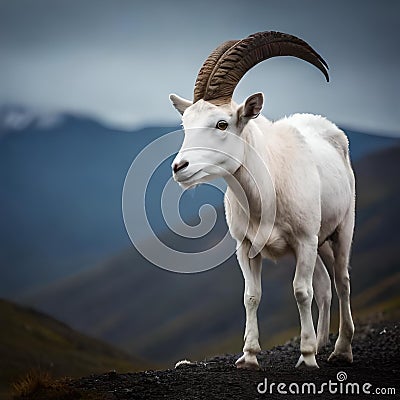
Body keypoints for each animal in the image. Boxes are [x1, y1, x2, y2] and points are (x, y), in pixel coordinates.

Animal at [169, 30, 354, 368]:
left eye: (222, 123)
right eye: (185, 124)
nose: (180, 168)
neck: (268, 191)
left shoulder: (304, 240)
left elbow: (300, 292)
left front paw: (307, 357)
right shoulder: (246, 247)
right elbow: (251, 296)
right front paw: (249, 356)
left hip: (340, 231)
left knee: (341, 280)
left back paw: (340, 350)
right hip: (319, 244)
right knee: (324, 285)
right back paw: (322, 342)